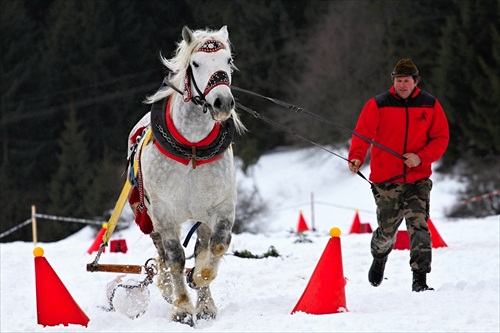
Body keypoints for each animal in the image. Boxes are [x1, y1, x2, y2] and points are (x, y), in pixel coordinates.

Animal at [127, 26, 246, 324]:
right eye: (196, 63)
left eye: (228, 60)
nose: (222, 102)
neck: (191, 149)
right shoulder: (164, 213)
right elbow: (175, 258)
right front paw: (181, 306)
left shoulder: (222, 206)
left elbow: (216, 246)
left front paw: (200, 277)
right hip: (150, 215)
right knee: (163, 254)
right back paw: (168, 288)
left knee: (203, 245)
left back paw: (204, 303)